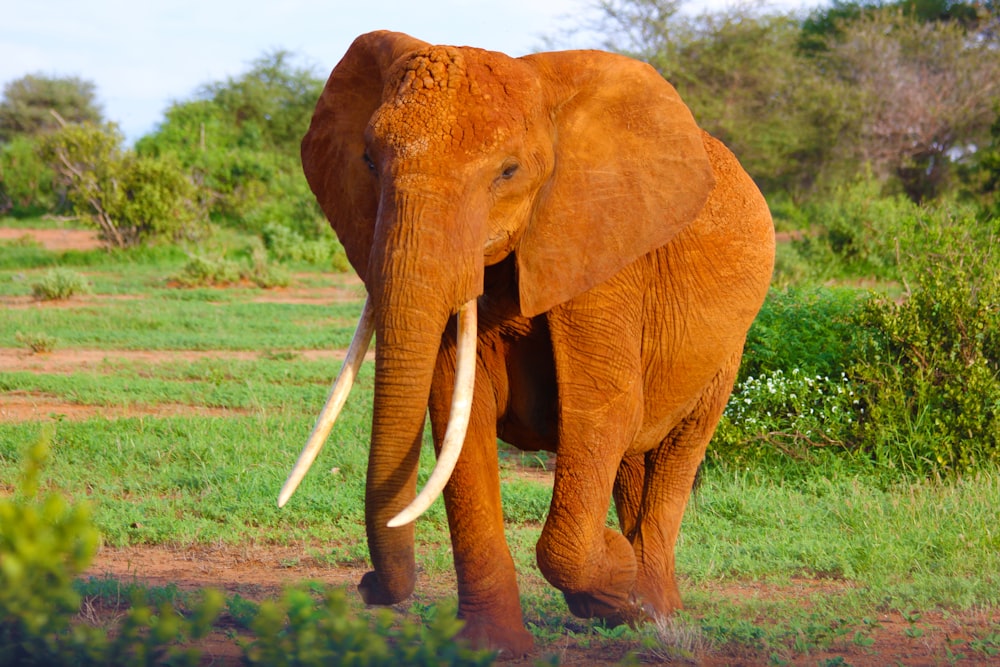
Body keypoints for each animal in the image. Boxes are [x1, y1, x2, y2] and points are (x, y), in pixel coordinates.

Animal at [278, 30, 776, 656]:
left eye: (508, 172)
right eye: (368, 161)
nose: (366, 585)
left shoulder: (601, 249)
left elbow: (603, 409)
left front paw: (613, 572)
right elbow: (457, 414)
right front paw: (492, 648)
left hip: (729, 347)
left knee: (677, 449)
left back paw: (655, 613)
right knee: (634, 459)